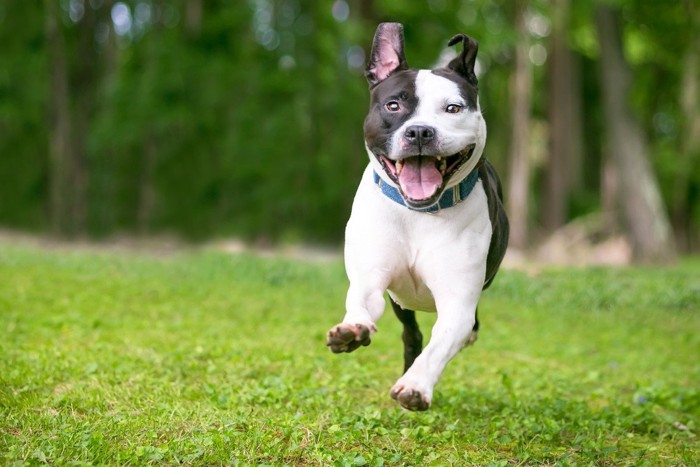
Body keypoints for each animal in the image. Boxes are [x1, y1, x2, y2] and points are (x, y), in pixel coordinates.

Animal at [328, 23, 508, 412]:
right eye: (393, 105)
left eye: (453, 108)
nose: (420, 131)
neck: (420, 213)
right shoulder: (370, 279)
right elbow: (360, 302)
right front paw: (352, 330)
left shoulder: (458, 304)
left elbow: (442, 343)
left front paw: (416, 384)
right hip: (402, 304)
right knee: (411, 333)